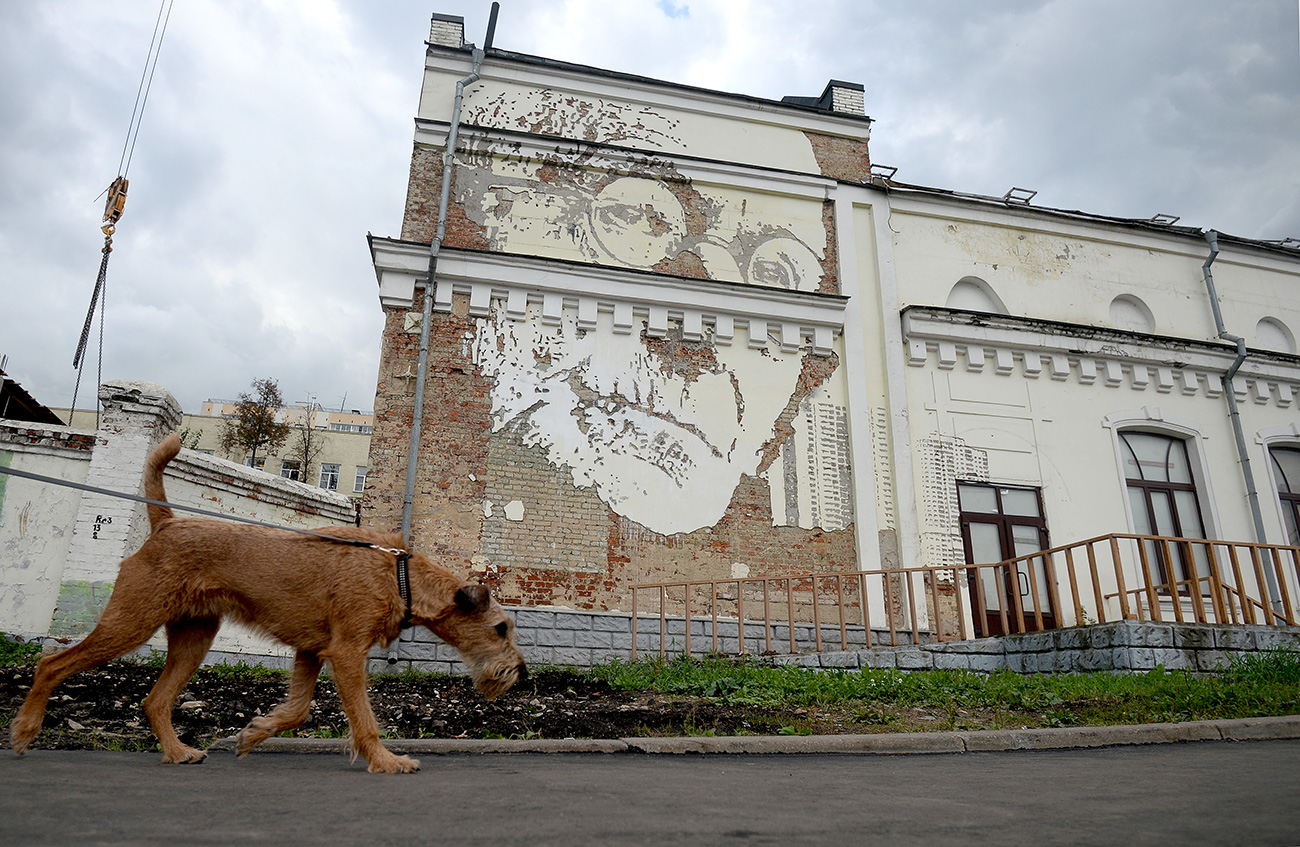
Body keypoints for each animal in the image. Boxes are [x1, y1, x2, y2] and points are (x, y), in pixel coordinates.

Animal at [8, 433, 527, 769]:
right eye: (501, 628)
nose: (522, 674)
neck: (398, 575)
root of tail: (167, 522)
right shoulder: (345, 653)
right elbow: (365, 718)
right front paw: (386, 760)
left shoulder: (310, 653)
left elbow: (296, 710)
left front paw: (252, 733)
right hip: (130, 622)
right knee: (52, 664)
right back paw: (25, 730)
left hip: (194, 638)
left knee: (155, 700)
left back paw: (178, 752)